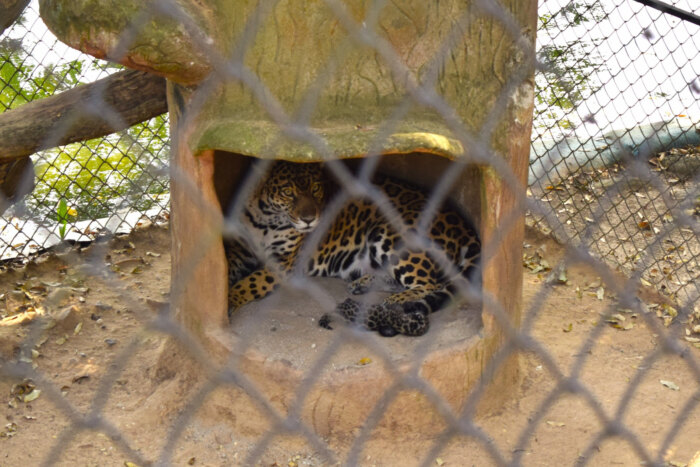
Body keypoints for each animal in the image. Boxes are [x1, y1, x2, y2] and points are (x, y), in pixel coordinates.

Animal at [224, 160, 481, 337]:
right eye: (288, 193)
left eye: (316, 189)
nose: (309, 219)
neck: (265, 220)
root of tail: (462, 224)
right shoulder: (238, 250)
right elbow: (228, 269)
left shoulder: (284, 262)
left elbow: (250, 282)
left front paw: (231, 298)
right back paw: (362, 284)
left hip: (389, 232)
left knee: (429, 283)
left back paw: (395, 301)